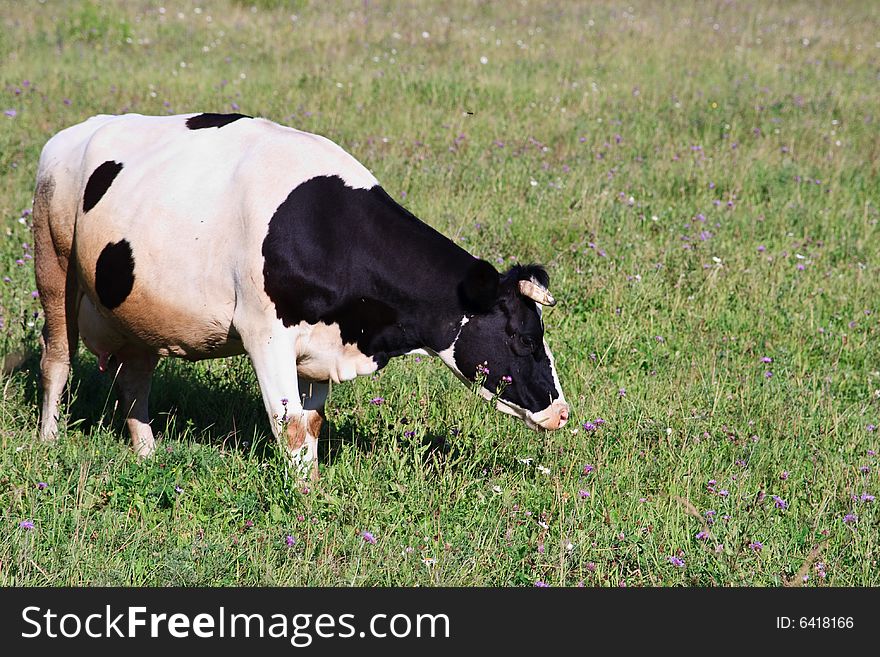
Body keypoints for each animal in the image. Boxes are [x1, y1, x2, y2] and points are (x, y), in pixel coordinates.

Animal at [32, 113, 572, 476]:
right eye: (525, 338)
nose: (562, 412)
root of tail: (75, 131)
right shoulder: (265, 334)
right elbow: (288, 426)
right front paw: (302, 501)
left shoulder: (320, 347)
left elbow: (310, 426)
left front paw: (312, 485)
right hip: (53, 262)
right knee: (57, 358)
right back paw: (48, 440)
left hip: (142, 311)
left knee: (135, 378)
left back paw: (147, 452)